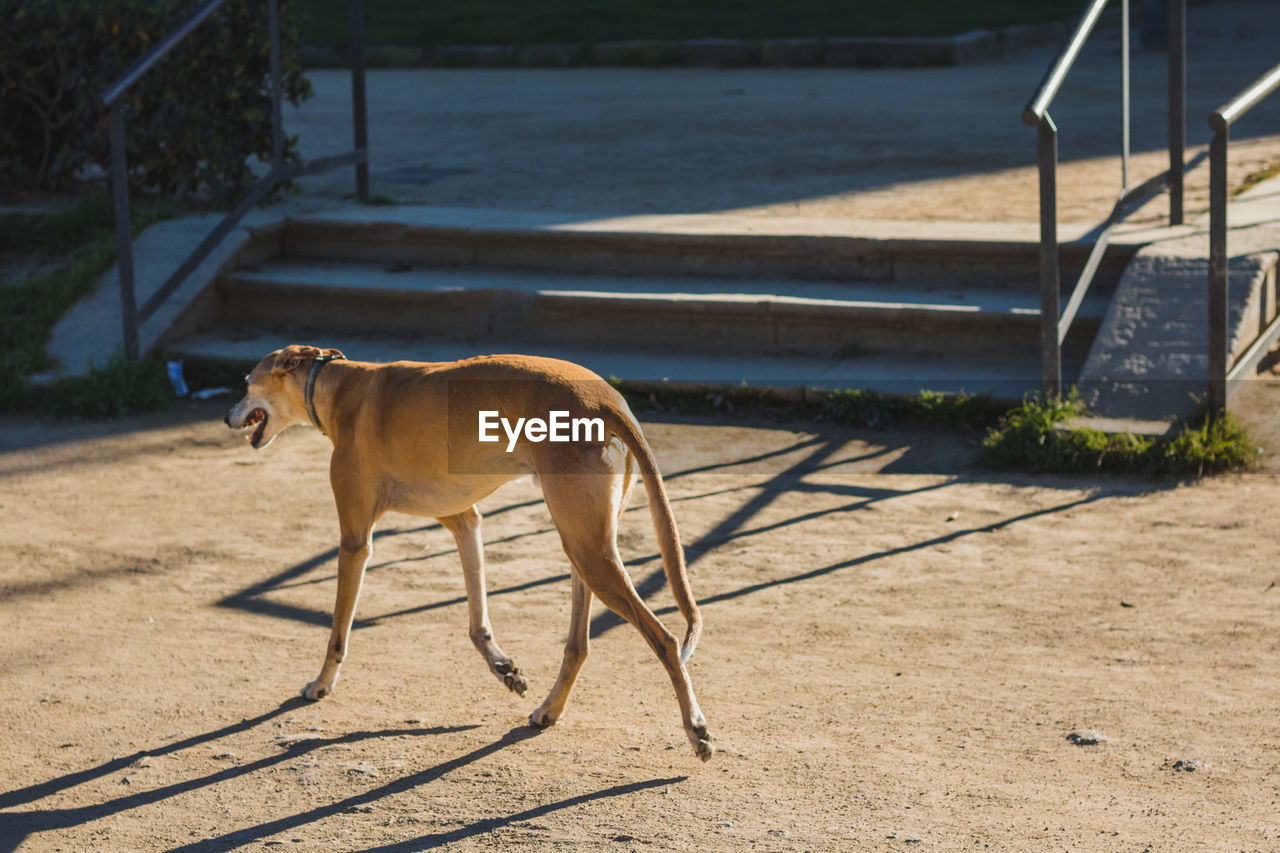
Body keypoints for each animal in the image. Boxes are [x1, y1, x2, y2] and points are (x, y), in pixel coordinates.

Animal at [225, 343, 716, 753]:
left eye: (247, 382)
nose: (228, 416)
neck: (337, 385)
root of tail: (608, 401)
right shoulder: (463, 520)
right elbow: (477, 621)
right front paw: (504, 668)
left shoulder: (354, 540)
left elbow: (337, 632)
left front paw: (321, 684)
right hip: (583, 544)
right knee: (578, 646)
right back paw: (549, 710)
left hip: (590, 552)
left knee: (665, 640)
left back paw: (696, 730)